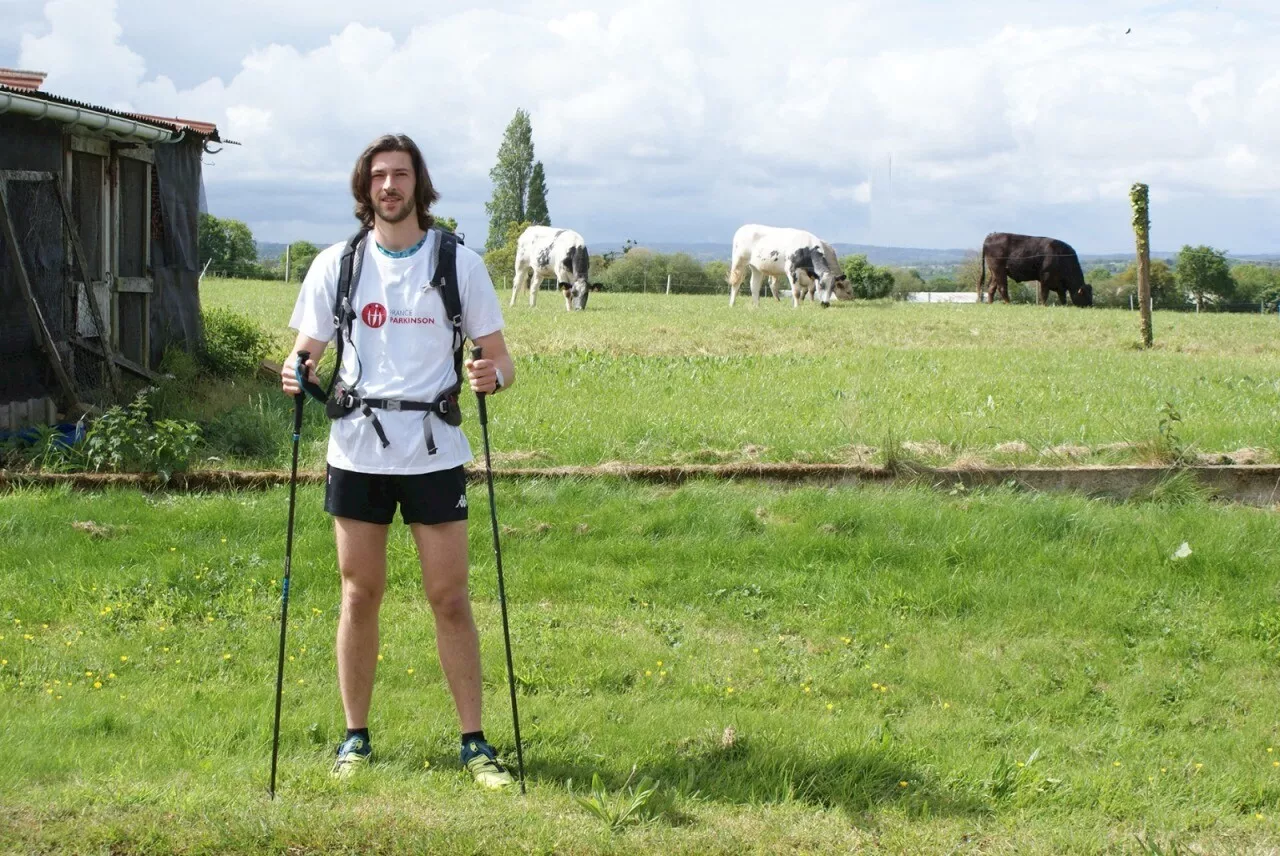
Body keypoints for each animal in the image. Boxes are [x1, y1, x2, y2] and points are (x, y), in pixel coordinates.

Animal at [727, 225, 855, 308]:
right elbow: (797, 292)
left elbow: (805, 290)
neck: (807, 248)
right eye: (821, 285)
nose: (826, 304)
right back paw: (732, 304)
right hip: (739, 262)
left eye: (833, 287)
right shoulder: (792, 270)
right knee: (736, 283)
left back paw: (757, 306)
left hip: (756, 268)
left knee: (754, 286)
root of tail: (744, 227)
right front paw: (797, 307)